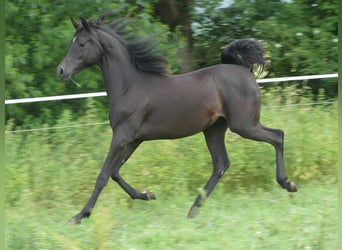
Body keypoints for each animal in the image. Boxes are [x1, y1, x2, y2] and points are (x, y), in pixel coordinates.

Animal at [56, 14, 296, 224]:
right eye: (71, 42)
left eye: (82, 43)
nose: (61, 71)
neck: (129, 86)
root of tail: (245, 71)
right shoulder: (133, 139)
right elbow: (115, 172)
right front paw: (148, 194)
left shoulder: (122, 135)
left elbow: (103, 175)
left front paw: (79, 216)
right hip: (214, 129)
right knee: (221, 163)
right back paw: (193, 210)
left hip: (244, 125)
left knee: (278, 136)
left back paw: (288, 183)